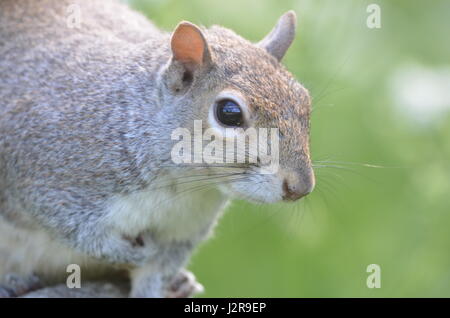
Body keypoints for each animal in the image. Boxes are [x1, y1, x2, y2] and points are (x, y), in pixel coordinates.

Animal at [0, 0, 314, 298]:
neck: (182, 184)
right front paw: (134, 253)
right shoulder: (47, 177)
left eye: (304, 100)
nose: (300, 187)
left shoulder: (182, 232)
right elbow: (77, 230)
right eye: (229, 112)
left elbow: (157, 271)